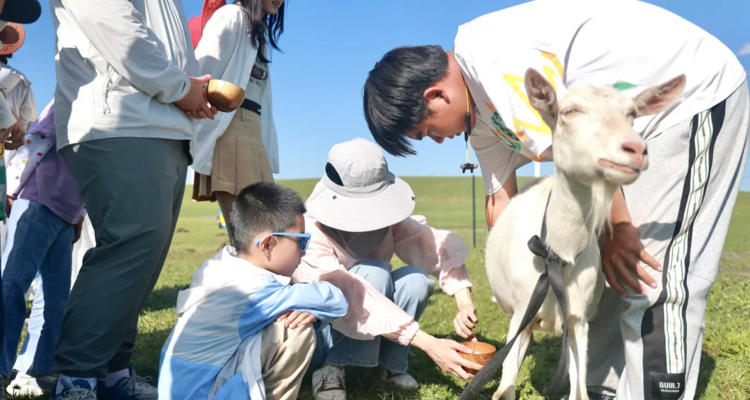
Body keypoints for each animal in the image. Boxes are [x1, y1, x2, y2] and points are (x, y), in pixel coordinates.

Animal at [488, 69, 688, 400]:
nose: (635, 149)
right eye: (569, 111)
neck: (557, 256)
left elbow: (579, 392)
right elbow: (504, 390)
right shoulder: (520, 313)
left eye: (632, 114)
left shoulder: (578, 320)